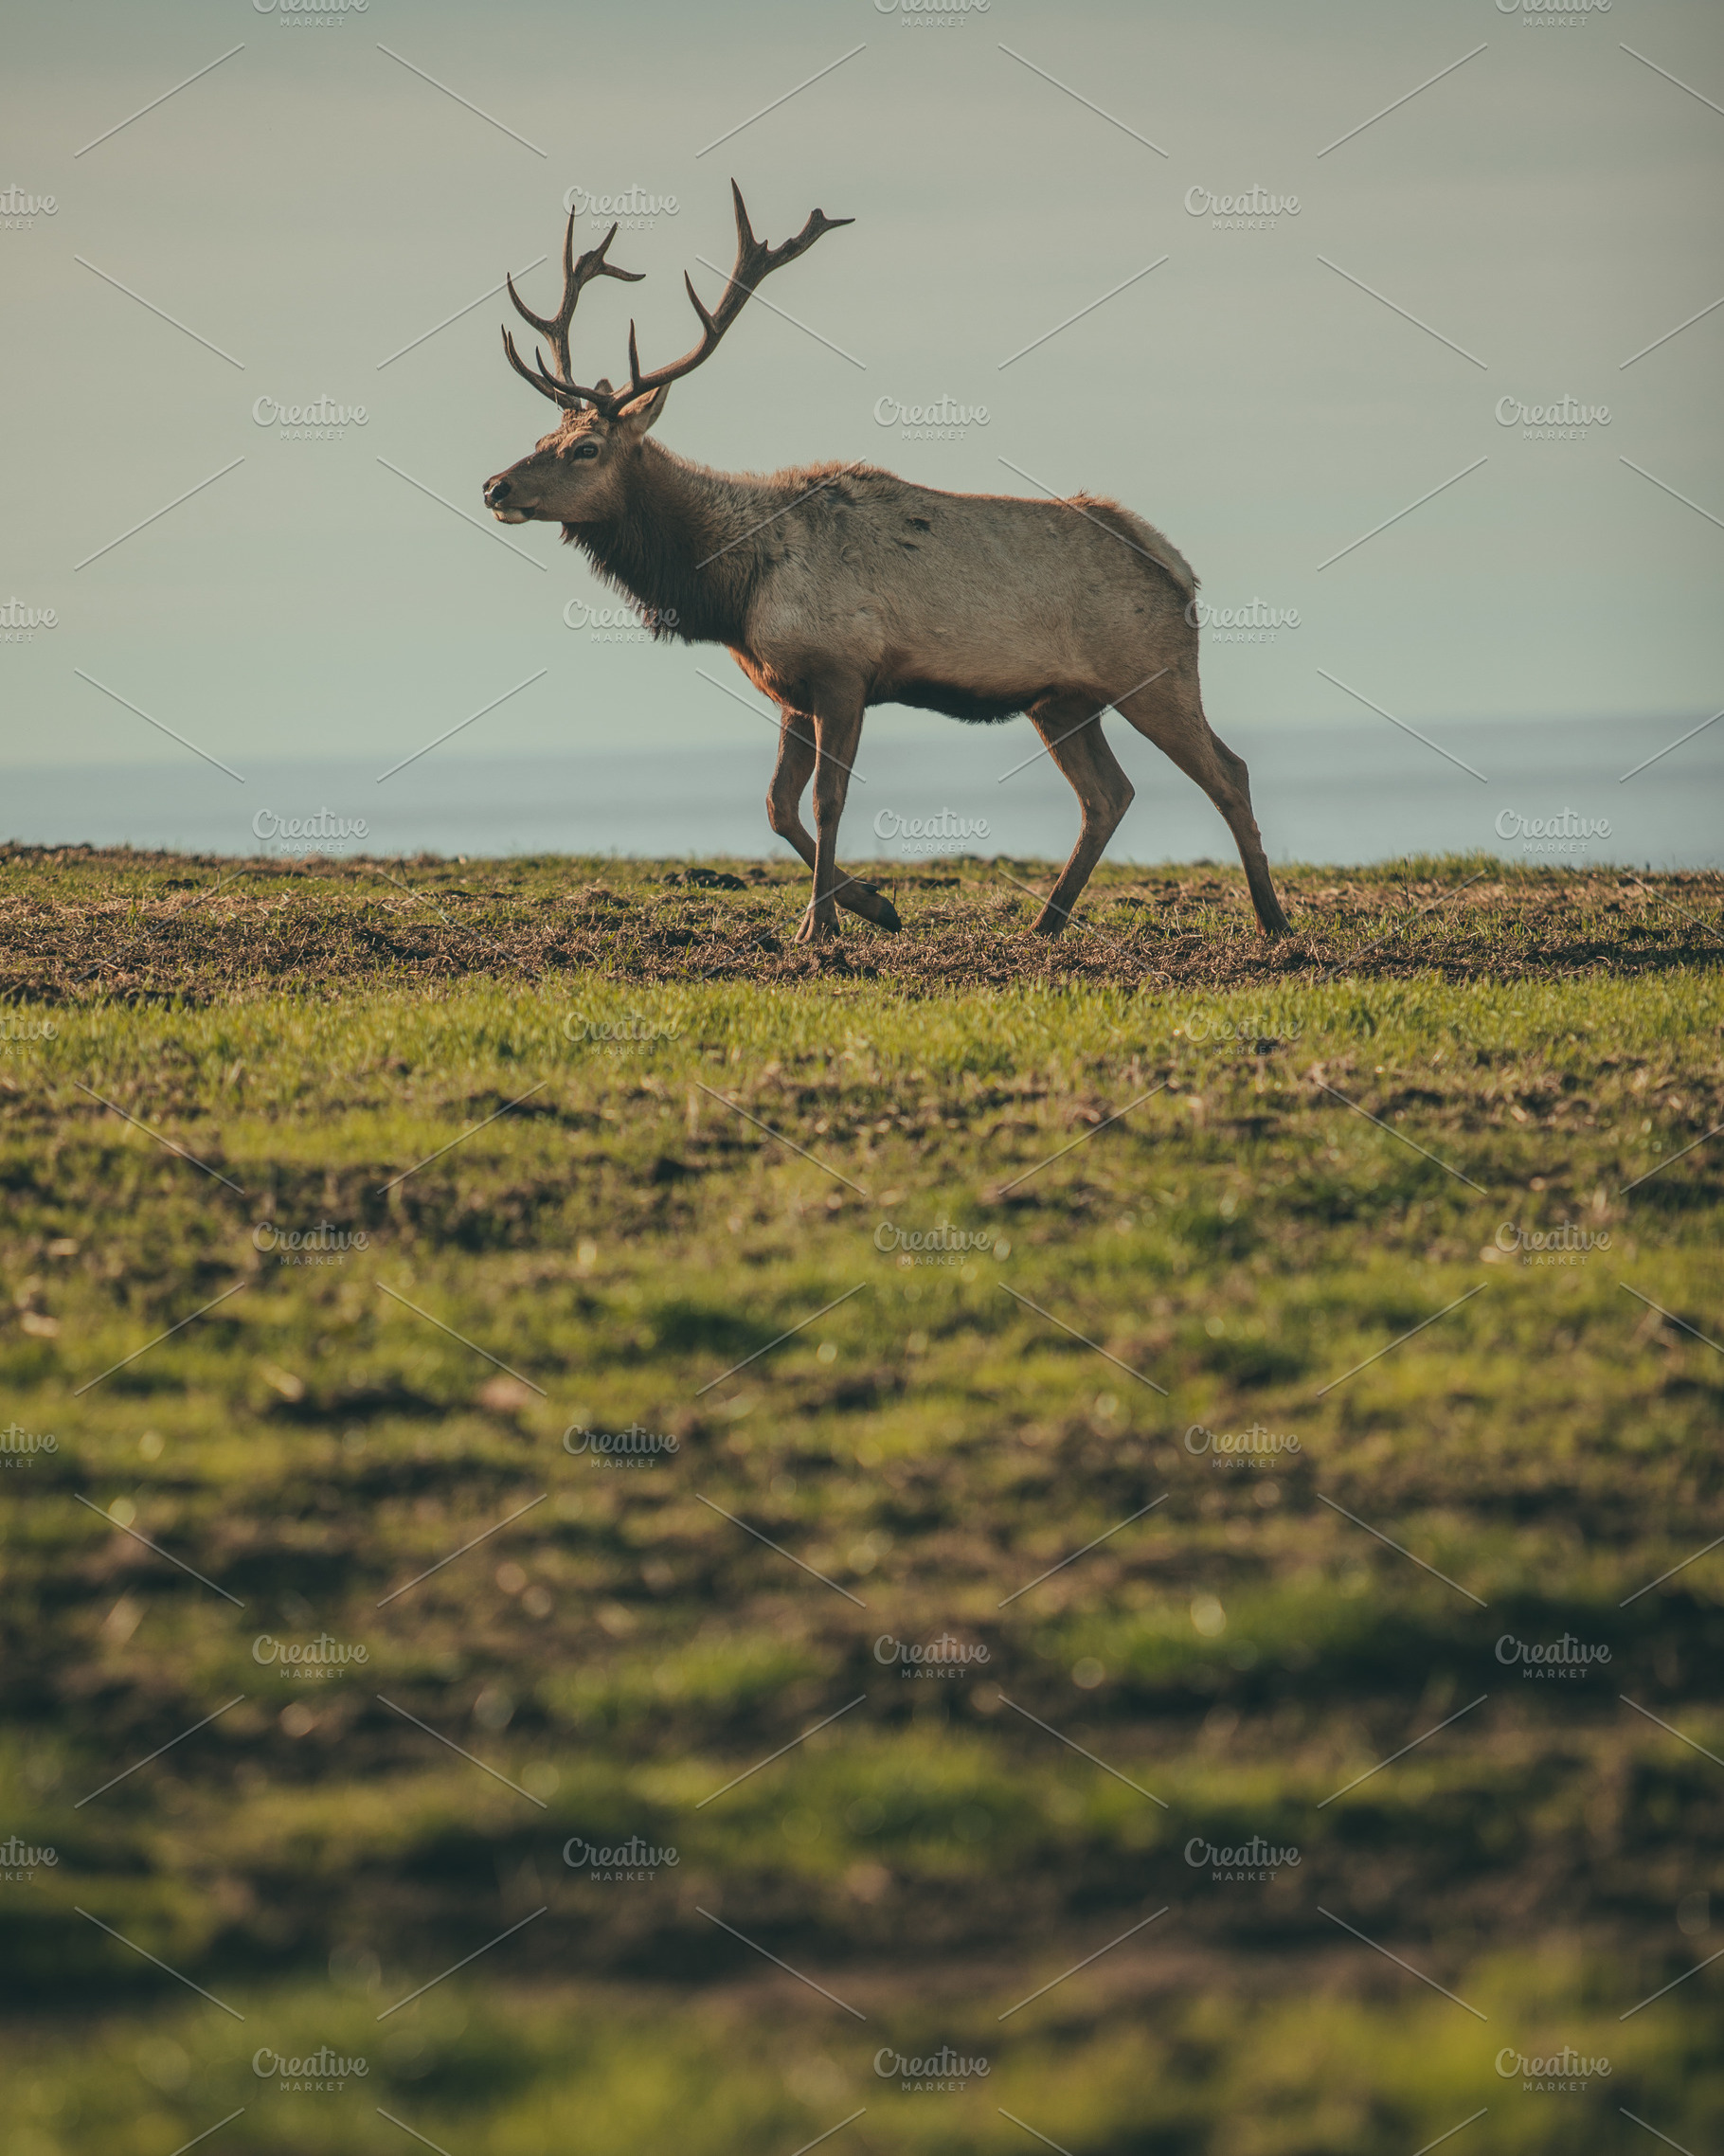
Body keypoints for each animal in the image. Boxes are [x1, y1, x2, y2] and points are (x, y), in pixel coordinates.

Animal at [482, 187, 1292, 944]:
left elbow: (825, 800)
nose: (495, 487)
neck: (734, 587)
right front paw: (872, 905)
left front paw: (822, 927)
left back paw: (1273, 921)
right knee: (1108, 794)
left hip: (1153, 670)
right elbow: (776, 805)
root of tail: (1176, 567)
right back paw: (1045, 923)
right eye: (543, 436)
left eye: (586, 448)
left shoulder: (844, 671)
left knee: (1229, 773)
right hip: (1062, 699)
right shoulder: (789, 688)